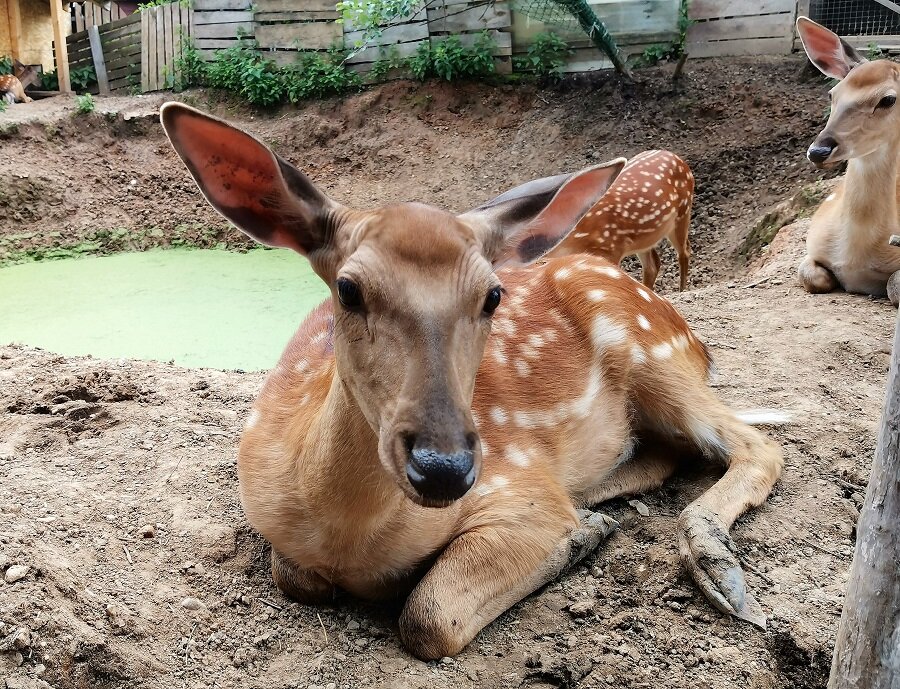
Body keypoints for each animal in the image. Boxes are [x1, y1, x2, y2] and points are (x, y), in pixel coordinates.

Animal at [548, 150, 696, 290]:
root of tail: (679, 159)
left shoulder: (610, 249)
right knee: (653, 265)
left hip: (683, 211)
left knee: (684, 251)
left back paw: (681, 290)